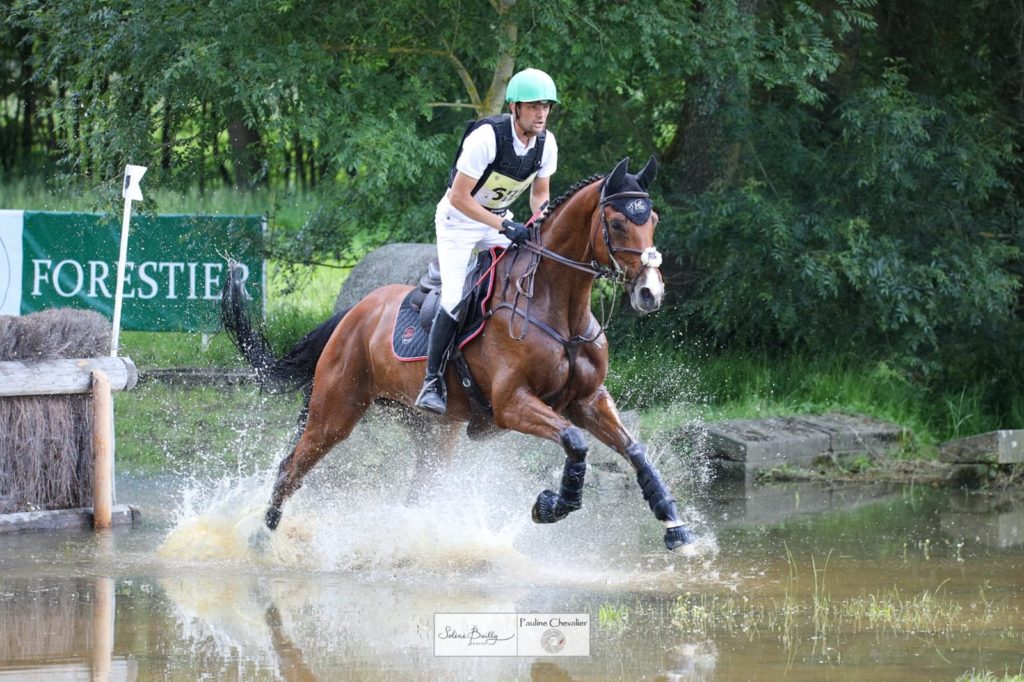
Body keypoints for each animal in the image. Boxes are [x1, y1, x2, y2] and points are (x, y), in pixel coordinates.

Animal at [222, 153, 696, 548]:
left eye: (652, 218)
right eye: (616, 224)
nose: (650, 293)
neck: (559, 310)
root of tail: (353, 314)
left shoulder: (587, 400)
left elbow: (635, 450)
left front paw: (675, 525)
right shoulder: (512, 404)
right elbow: (576, 443)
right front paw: (550, 506)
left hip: (432, 429)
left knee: (417, 489)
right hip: (335, 411)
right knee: (292, 468)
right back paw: (262, 538)